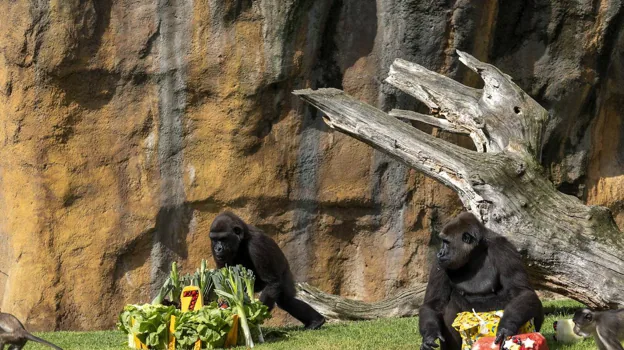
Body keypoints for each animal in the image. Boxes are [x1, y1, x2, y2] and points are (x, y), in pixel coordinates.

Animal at [420, 212, 544, 348]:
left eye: (446, 242)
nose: (440, 253)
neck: (475, 252)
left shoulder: (503, 249)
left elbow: (521, 292)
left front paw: (506, 327)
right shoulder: (440, 264)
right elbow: (434, 304)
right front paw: (430, 335)